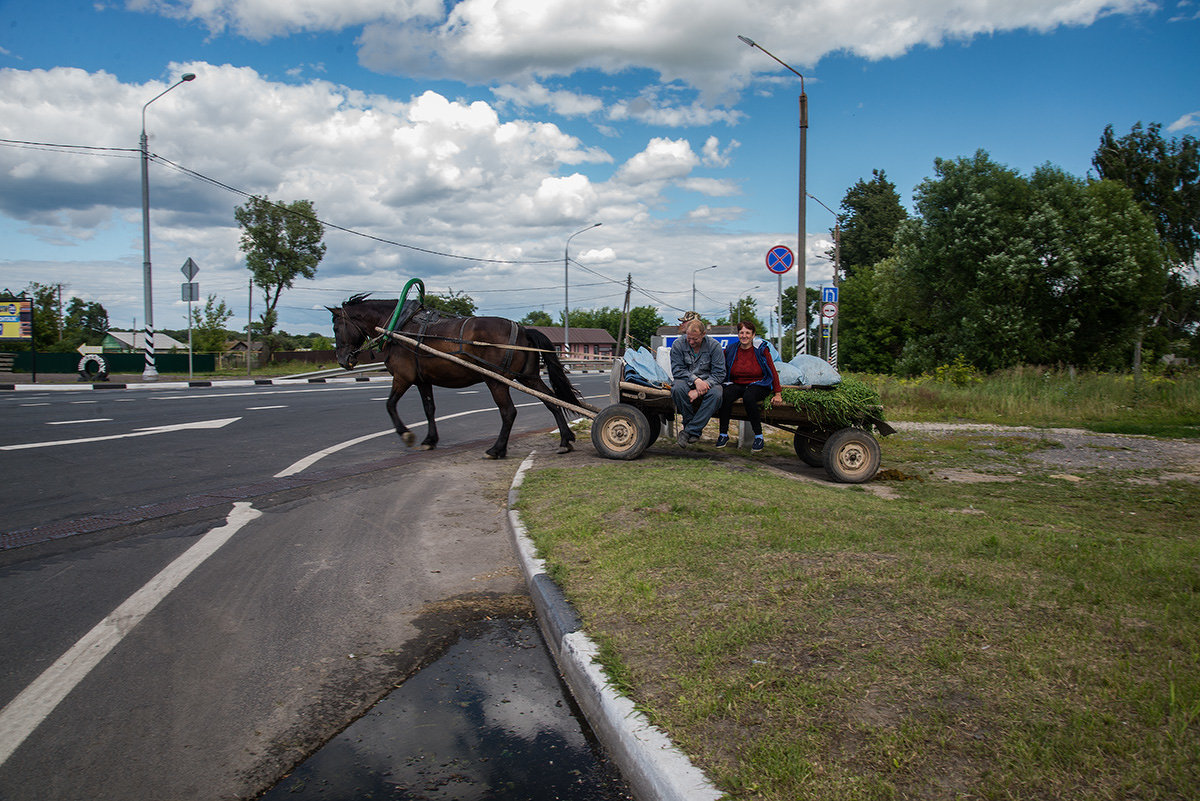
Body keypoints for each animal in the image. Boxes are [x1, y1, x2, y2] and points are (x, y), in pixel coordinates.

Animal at [328, 292, 580, 455]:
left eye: (336, 327)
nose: (343, 360)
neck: (399, 327)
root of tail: (523, 330)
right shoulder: (422, 380)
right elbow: (429, 408)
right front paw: (430, 440)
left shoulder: (403, 378)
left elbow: (389, 404)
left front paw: (406, 435)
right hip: (528, 377)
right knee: (552, 401)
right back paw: (565, 440)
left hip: (495, 380)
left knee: (508, 412)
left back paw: (497, 449)